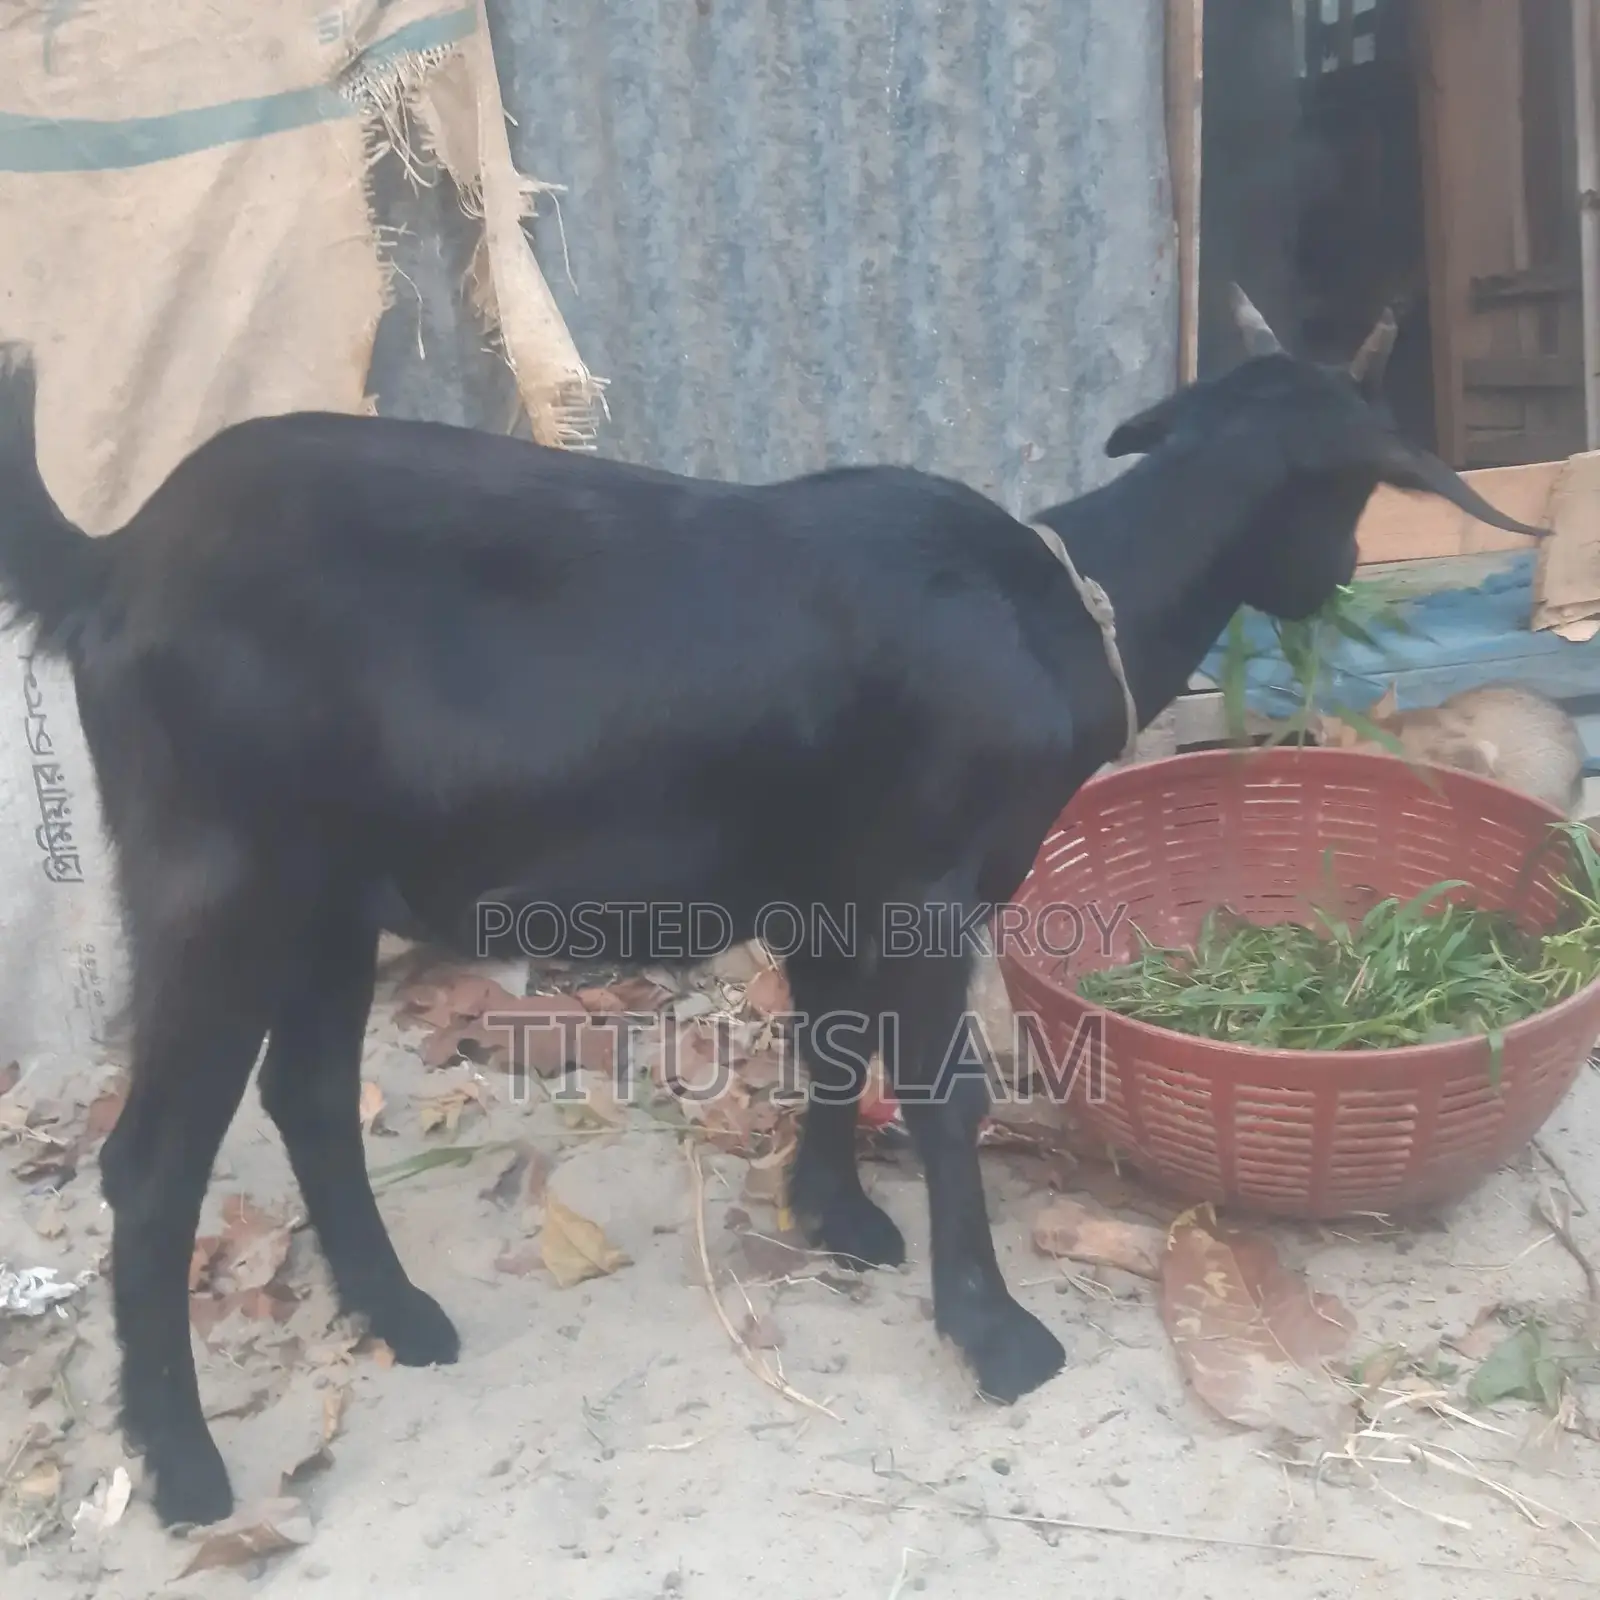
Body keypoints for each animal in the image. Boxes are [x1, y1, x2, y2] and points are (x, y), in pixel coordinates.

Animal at [0, 287, 1545, 1529]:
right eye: (1356, 489)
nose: (1339, 582)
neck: (1059, 605)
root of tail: (113, 560)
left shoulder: (830, 891)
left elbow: (832, 1048)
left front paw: (835, 1217)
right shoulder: (924, 888)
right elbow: (939, 1091)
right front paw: (993, 1333)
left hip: (326, 895)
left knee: (311, 1096)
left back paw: (400, 1315)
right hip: (220, 880)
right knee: (151, 1167)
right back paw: (188, 1470)